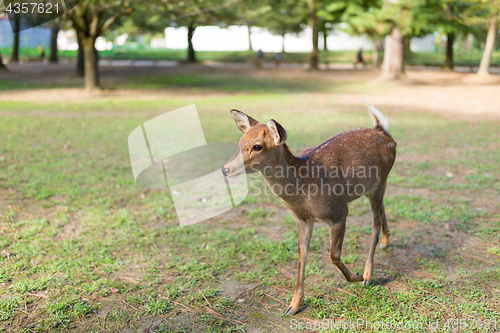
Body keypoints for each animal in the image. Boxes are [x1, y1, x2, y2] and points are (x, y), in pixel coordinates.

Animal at [224, 100, 398, 314]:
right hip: (372, 187)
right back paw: (385, 242)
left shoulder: (339, 211)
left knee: (374, 222)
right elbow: (302, 254)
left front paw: (355, 277)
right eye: (240, 141)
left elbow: (333, 255)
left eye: (257, 146)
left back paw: (367, 275)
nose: (225, 169)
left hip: (381, 180)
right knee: (382, 209)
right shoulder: (302, 219)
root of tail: (384, 133)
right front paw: (293, 305)